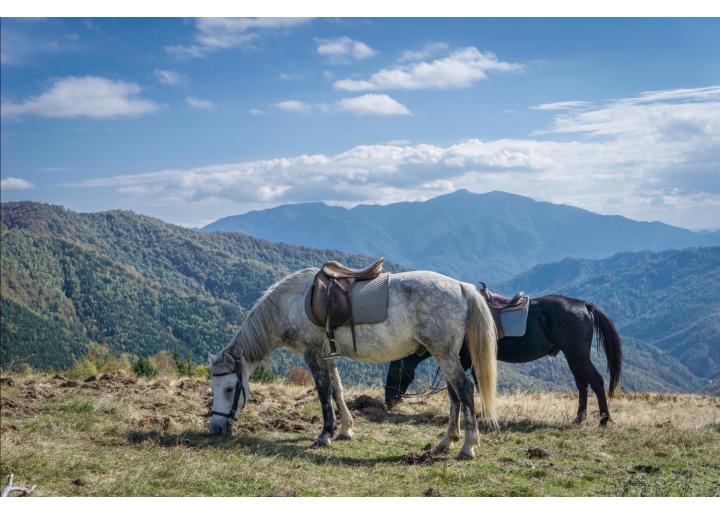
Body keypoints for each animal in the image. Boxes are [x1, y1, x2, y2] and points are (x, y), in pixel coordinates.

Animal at [208, 268, 500, 456]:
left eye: (230, 389)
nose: (216, 428)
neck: (289, 303)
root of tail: (462, 287)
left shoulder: (313, 353)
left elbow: (323, 392)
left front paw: (325, 434)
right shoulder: (329, 356)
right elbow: (337, 390)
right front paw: (346, 429)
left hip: (445, 355)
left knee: (465, 390)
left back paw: (468, 446)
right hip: (445, 355)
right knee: (454, 395)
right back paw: (446, 441)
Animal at [386, 294, 620, 422]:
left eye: (396, 370)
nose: (389, 401)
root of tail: (584, 305)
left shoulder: (467, 359)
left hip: (577, 355)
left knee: (596, 381)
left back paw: (604, 420)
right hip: (574, 357)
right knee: (582, 384)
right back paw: (579, 419)